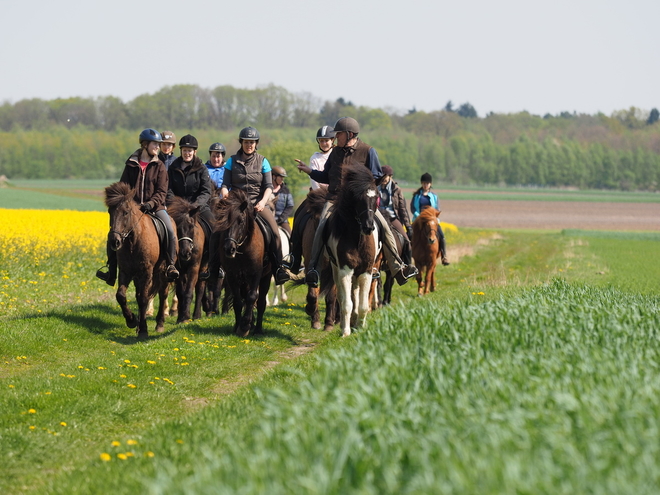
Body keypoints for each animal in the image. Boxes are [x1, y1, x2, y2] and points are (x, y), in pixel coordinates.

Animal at [104, 184, 174, 340]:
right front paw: (131, 320)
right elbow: (121, 295)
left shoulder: (146, 272)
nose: (114, 241)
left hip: (163, 272)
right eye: (110, 212)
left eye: (126, 213)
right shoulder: (126, 271)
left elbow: (143, 299)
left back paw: (159, 323)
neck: (133, 241)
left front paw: (143, 330)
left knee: (162, 294)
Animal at [166, 198, 208, 326]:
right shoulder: (179, 270)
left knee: (200, 288)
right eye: (176, 228)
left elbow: (189, 292)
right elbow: (181, 293)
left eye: (191, 226)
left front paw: (185, 317)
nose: (185, 253)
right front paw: (181, 317)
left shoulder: (194, 267)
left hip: (203, 268)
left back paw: (197, 315)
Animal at [214, 189, 270, 338]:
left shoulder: (256, 274)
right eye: (223, 222)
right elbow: (238, 301)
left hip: (266, 277)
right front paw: (238, 326)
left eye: (241, 221)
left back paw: (257, 328)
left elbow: (252, 297)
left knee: (260, 302)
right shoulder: (232, 276)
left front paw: (245, 326)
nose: (229, 249)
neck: (243, 248)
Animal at [320, 167, 382, 338]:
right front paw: (345, 331)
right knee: (343, 297)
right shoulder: (345, 271)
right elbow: (346, 303)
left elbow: (363, 305)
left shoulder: (367, 271)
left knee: (356, 293)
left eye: (376, 197)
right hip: (337, 271)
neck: (357, 239)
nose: (368, 227)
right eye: (357, 198)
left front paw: (361, 327)